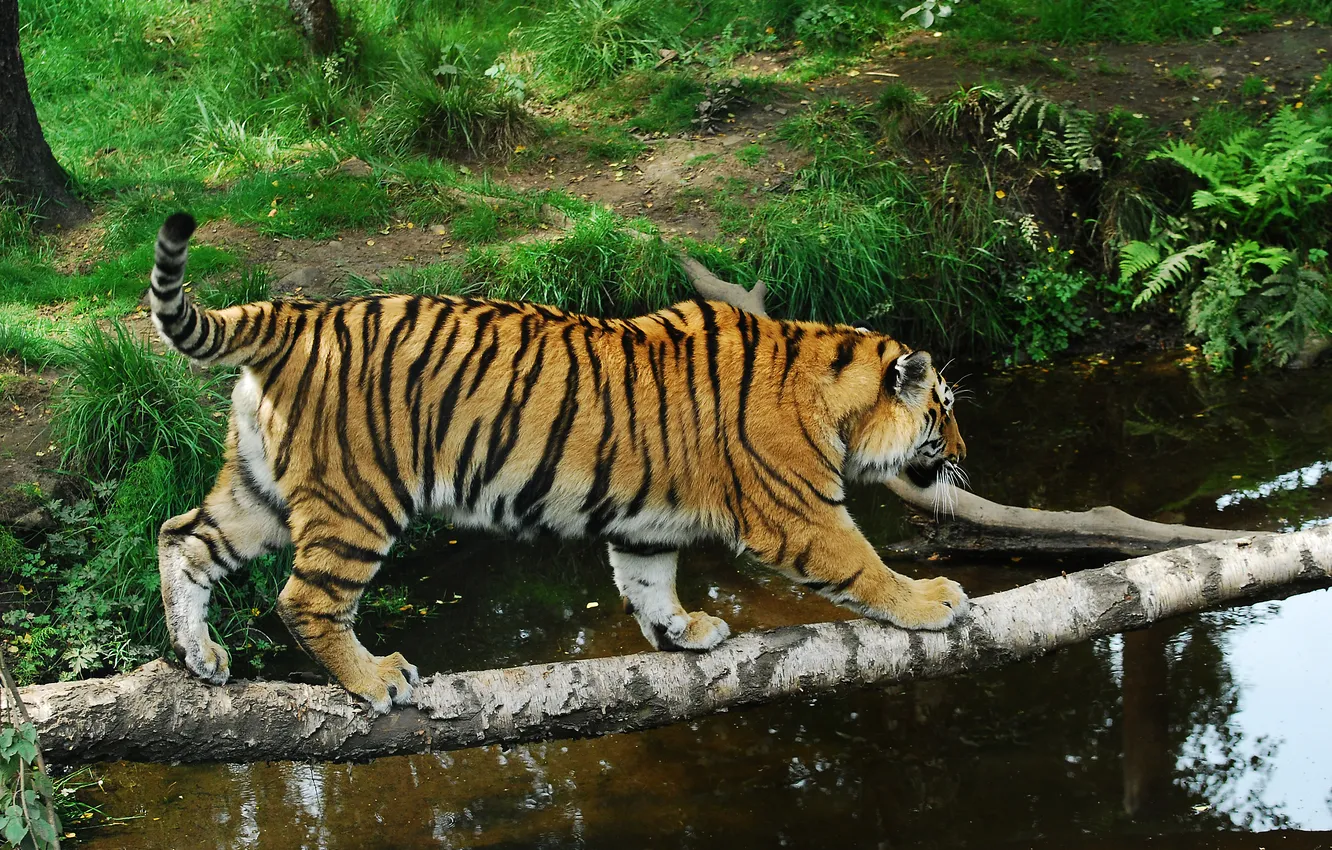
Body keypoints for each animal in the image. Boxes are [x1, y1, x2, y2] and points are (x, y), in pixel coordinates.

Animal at [148, 212, 969, 714]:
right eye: (946, 408)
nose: (964, 454)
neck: (827, 384)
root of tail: (293, 314)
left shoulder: (646, 525)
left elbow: (646, 583)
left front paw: (682, 630)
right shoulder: (800, 513)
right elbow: (863, 565)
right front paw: (933, 601)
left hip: (260, 491)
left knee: (180, 536)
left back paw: (200, 656)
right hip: (357, 498)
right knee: (303, 600)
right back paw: (376, 679)